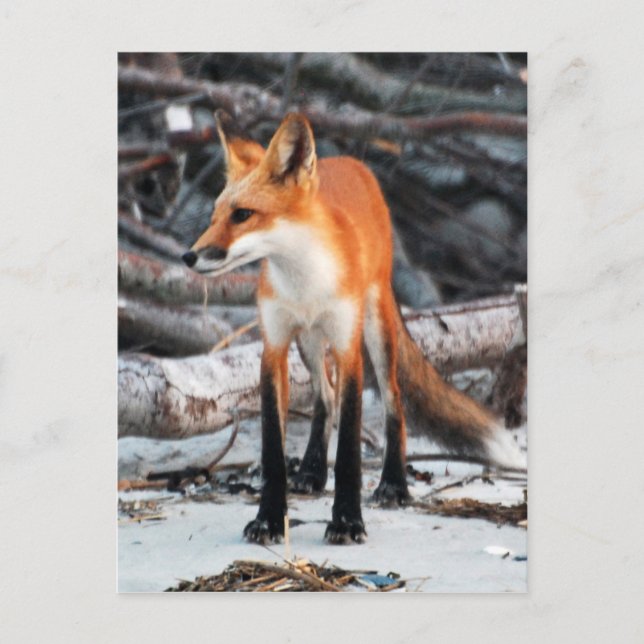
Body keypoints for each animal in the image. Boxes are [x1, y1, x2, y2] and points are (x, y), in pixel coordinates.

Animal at [182, 110, 523, 545]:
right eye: (213, 217)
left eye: (242, 215)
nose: (189, 256)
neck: (305, 282)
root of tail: (348, 161)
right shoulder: (274, 345)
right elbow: (273, 450)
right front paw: (270, 519)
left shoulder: (347, 346)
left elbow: (349, 452)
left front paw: (346, 520)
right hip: (309, 342)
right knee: (325, 398)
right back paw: (311, 472)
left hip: (376, 328)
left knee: (395, 402)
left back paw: (394, 484)